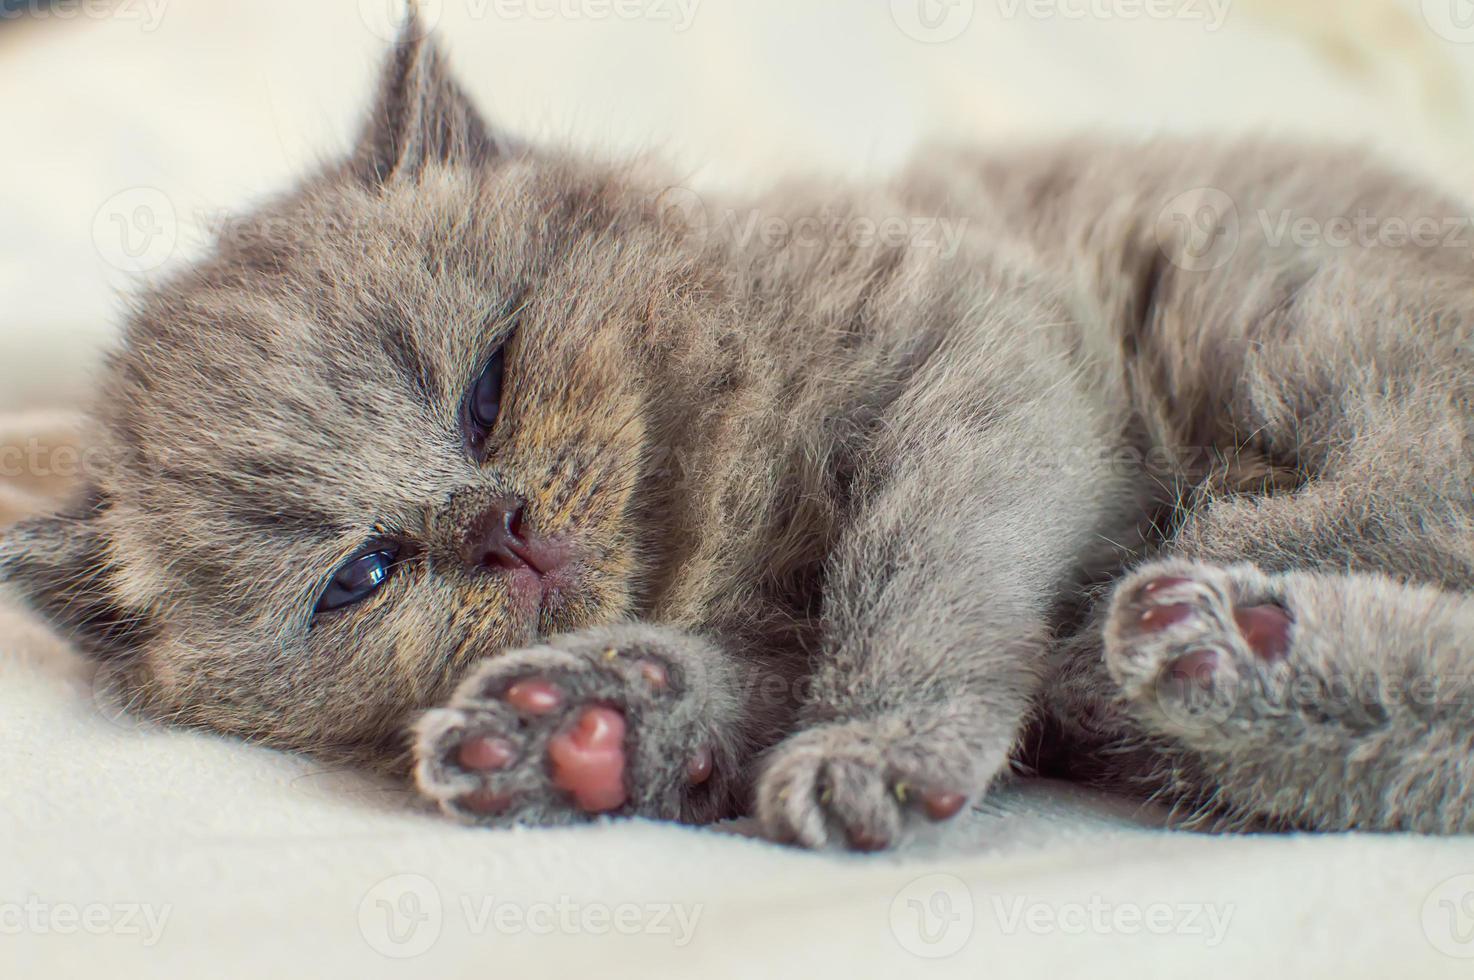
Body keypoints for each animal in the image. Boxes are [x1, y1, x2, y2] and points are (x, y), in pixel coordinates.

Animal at [2, 13, 1474, 842]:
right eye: (359, 575)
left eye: (486, 384)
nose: (498, 526)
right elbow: (750, 677)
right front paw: (580, 724)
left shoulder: (976, 336)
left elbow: (918, 572)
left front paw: (875, 740)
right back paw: (1232, 655)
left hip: (1271, 294)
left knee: (1410, 490)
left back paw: (1187, 621)